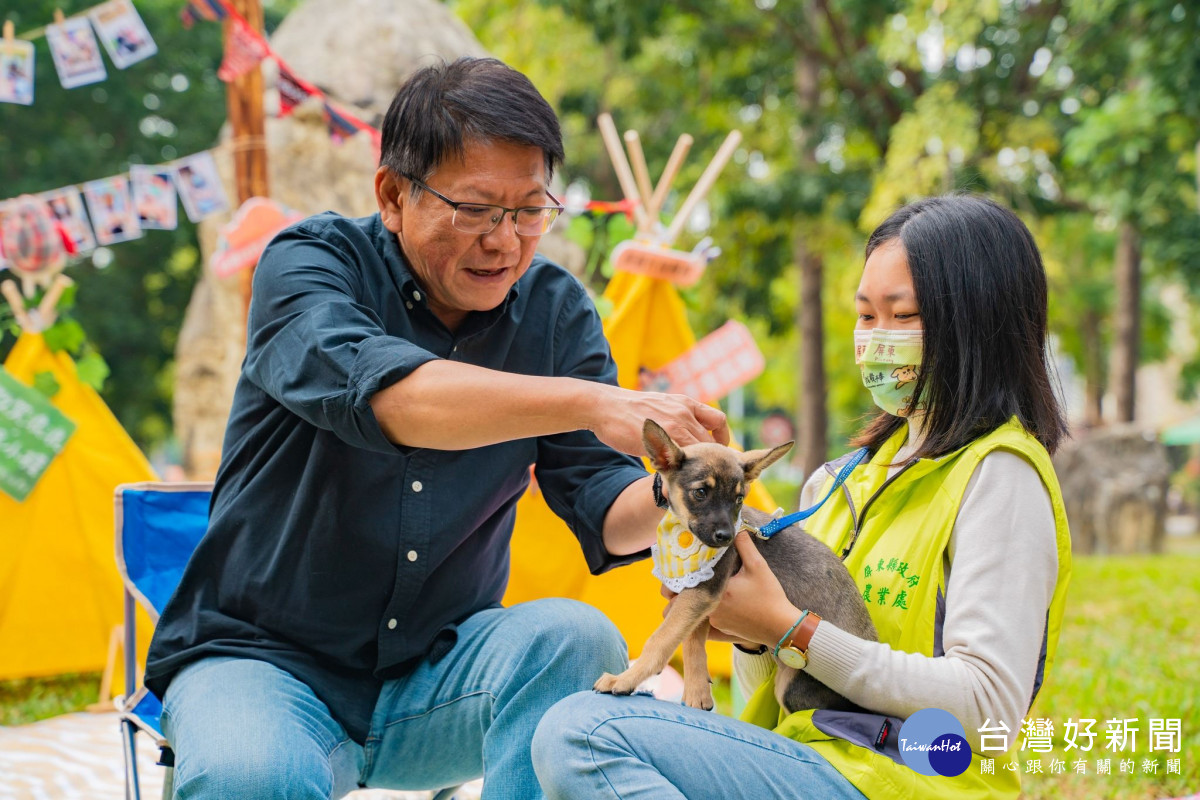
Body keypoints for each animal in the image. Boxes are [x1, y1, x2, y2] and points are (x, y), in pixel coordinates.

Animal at [595, 419, 878, 714]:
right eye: (700, 493)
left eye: (739, 499)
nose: (727, 537)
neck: (685, 536)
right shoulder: (699, 600)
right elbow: (692, 644)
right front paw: (697, 694)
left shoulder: (702, 592)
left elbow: (660, 640)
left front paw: (625, 679)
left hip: (791, 686)